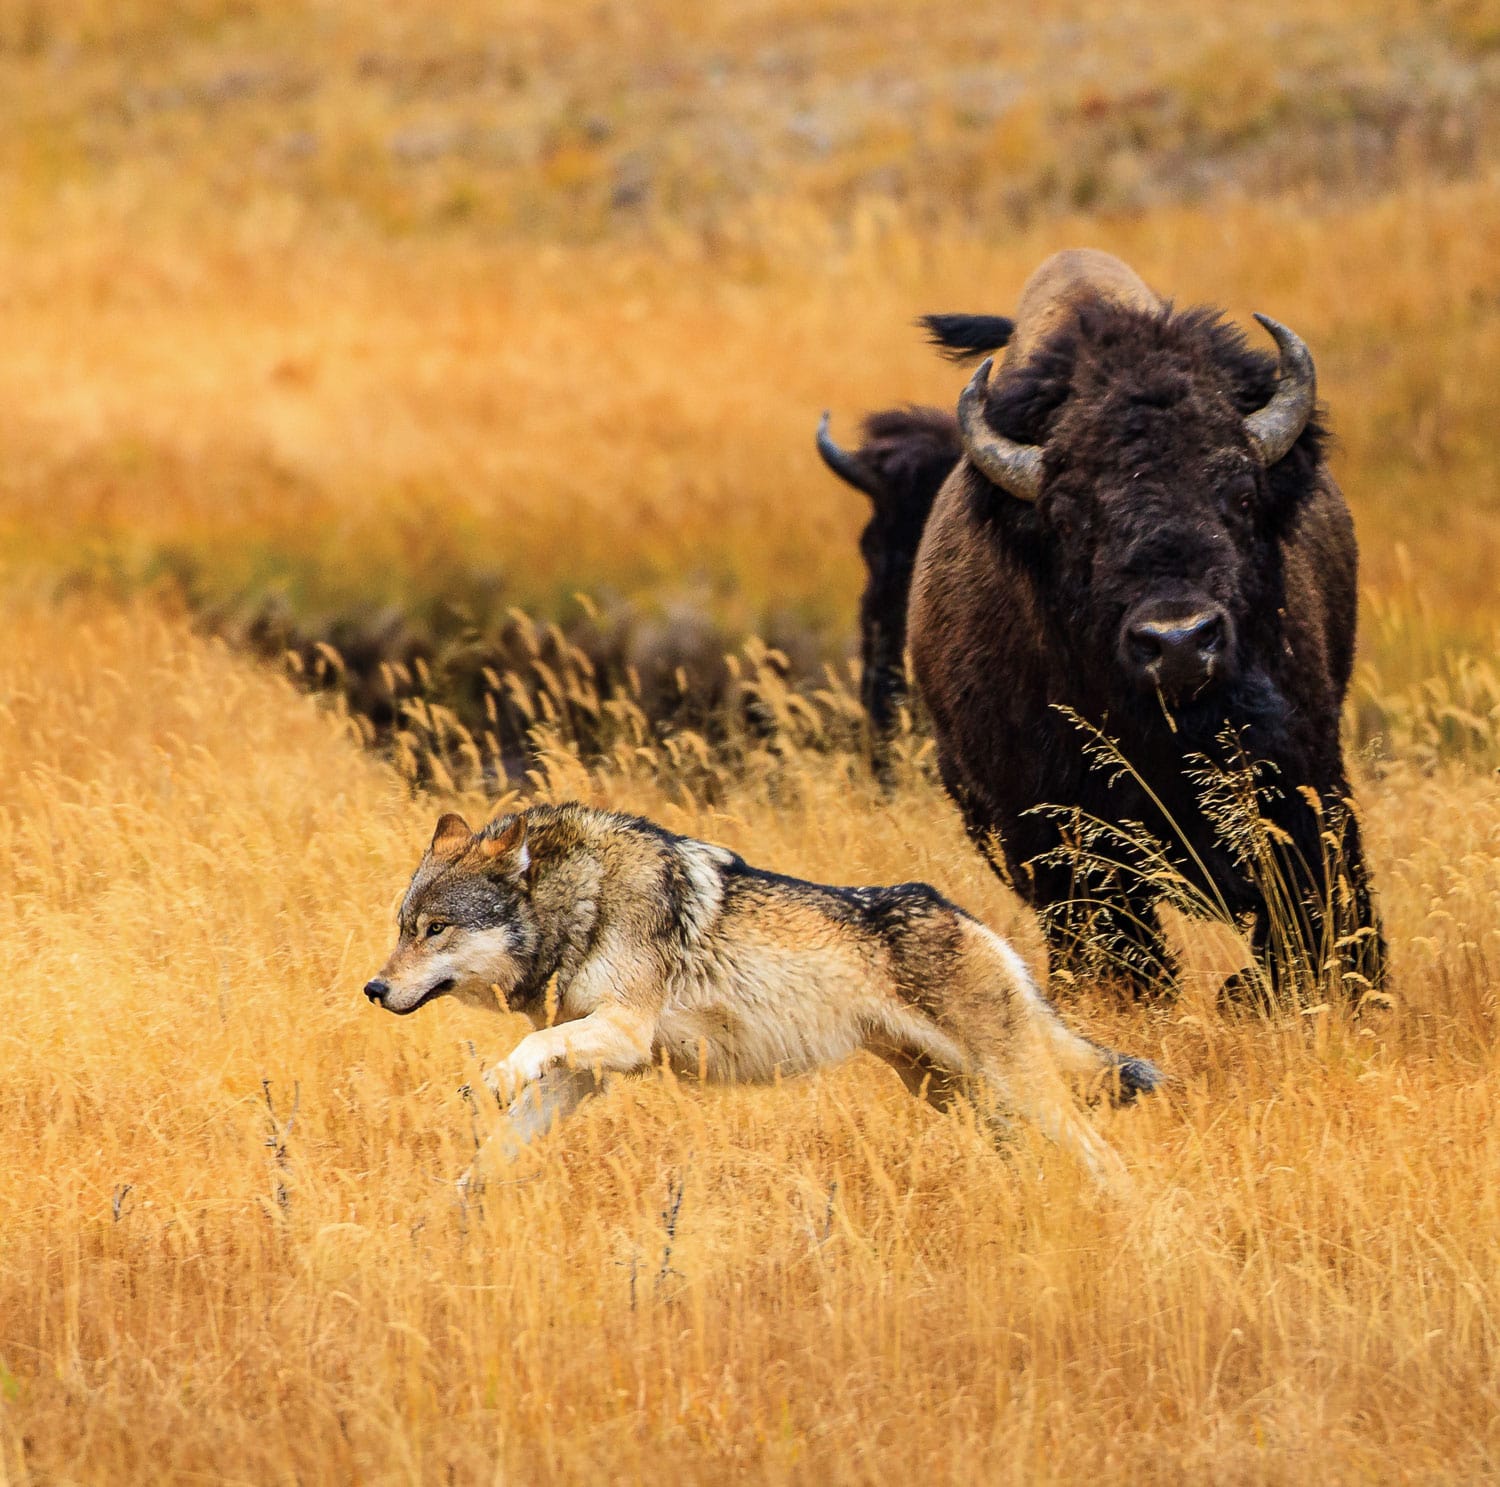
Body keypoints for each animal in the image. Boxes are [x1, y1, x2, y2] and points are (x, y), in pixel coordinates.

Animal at [363, 798, 1158, 1194]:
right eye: (403, 926)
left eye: (435, 929)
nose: (373, 988)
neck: (582, 898)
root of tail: (972, 921)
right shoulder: (589, 1069)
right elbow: (495, 1151)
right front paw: (446, 1216)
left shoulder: (624, 1034)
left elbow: (530, 1045)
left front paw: (495, 1075)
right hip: (961, 1097)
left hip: (1013, 1088)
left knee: (1107, 1157)